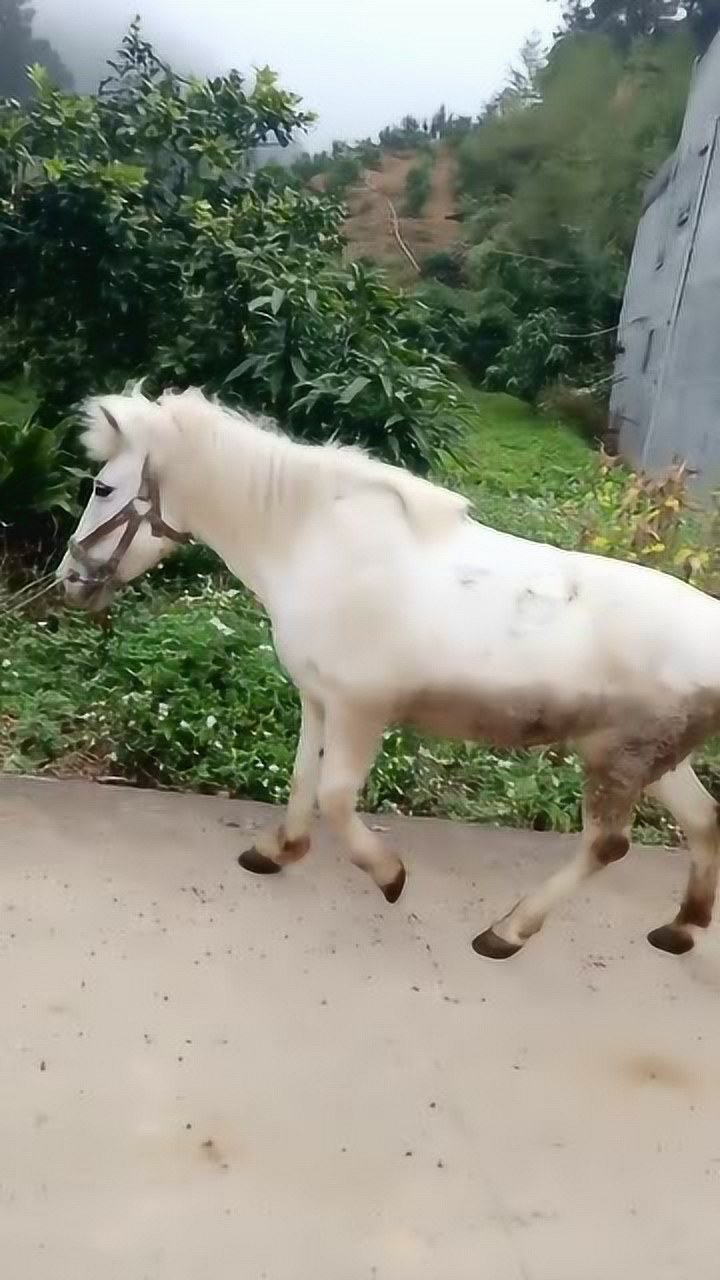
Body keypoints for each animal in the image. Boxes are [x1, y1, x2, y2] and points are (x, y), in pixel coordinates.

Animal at [56, 386, 720, 960]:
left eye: (103, 487)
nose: (69, 579)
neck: (314, 542)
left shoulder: (360, 707)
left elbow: (335, 799)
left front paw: (389, 875)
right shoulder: (319, 697)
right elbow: (303, 778)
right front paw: (277, 851)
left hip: (617, 758)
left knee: (608, 845)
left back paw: (506, 932)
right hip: (653, 759)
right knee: (702, 820)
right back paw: (680, 928)